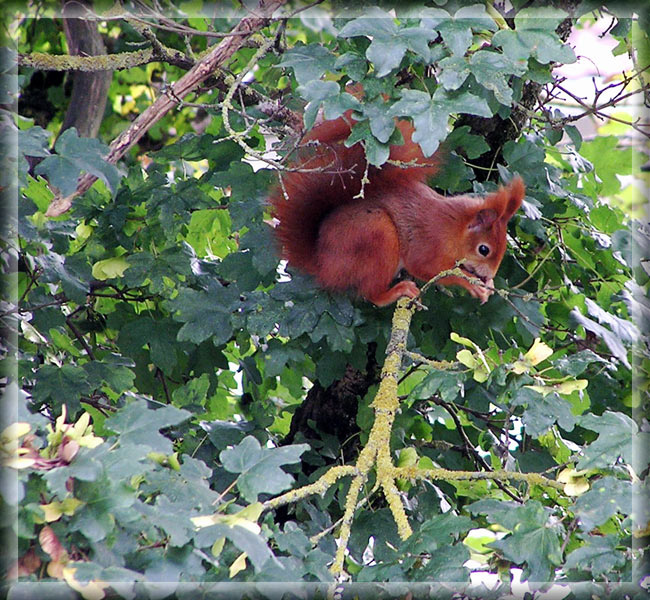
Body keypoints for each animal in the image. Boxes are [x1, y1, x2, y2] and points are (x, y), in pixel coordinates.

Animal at [269, 111, 524, 307]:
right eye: (484, 249)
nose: (489, 275)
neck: (454, 227)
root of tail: (322, 263)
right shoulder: (427, 243)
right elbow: (429, 269)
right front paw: (472, 283)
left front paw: (486, 283)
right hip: (377, 235)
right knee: (371, 294)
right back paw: (395, 292)